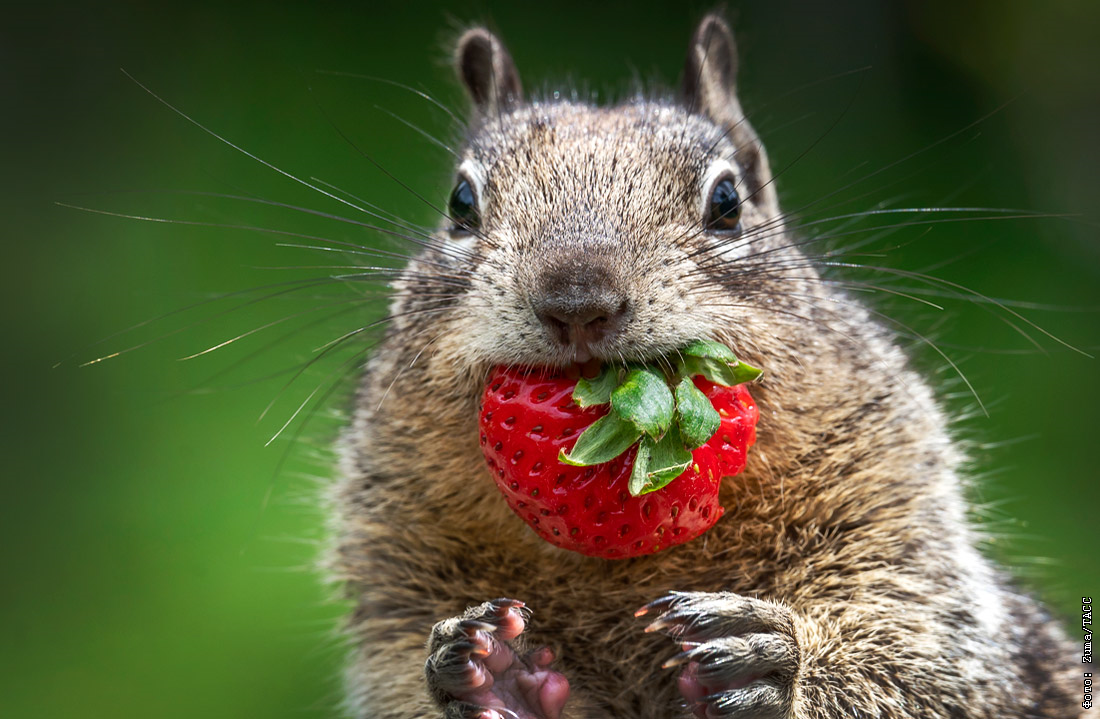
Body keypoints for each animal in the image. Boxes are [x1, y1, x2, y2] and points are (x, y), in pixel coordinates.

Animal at [330, 12, 1078, 719]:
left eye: (727, 201)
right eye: (460, 203)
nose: (577, 300)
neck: (619, 566)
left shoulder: (899, 537)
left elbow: (920, 658)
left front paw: (772, 667)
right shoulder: (396, 579)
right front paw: (493, 672)